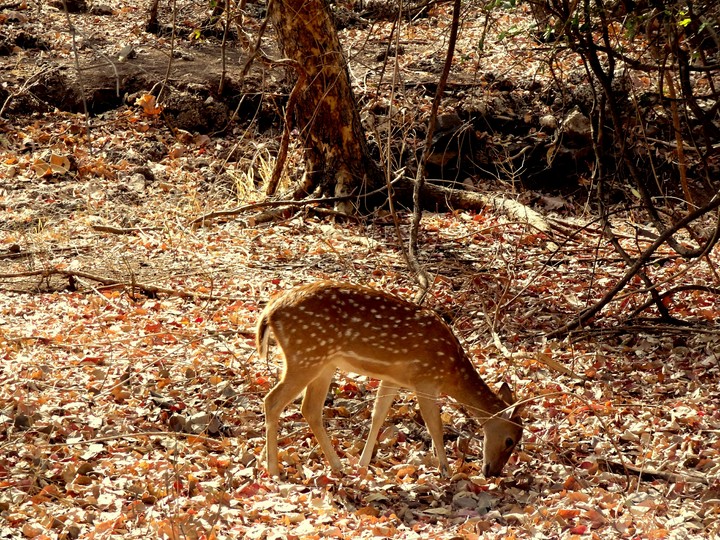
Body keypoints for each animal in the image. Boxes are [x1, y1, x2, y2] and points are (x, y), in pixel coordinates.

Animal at [256, 281, 524, 478]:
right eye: (510, 440)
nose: (493, 472)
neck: (451, 370)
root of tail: (269, 312)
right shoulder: (425, 379)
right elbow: (434, 426)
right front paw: (446, 471)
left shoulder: (393, 378)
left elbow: (378, 415)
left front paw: (363, 465)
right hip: (305, 357)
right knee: (272, 401)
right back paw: (274, 470)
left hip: (322, 364)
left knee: (309, 409)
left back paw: (338, 466)